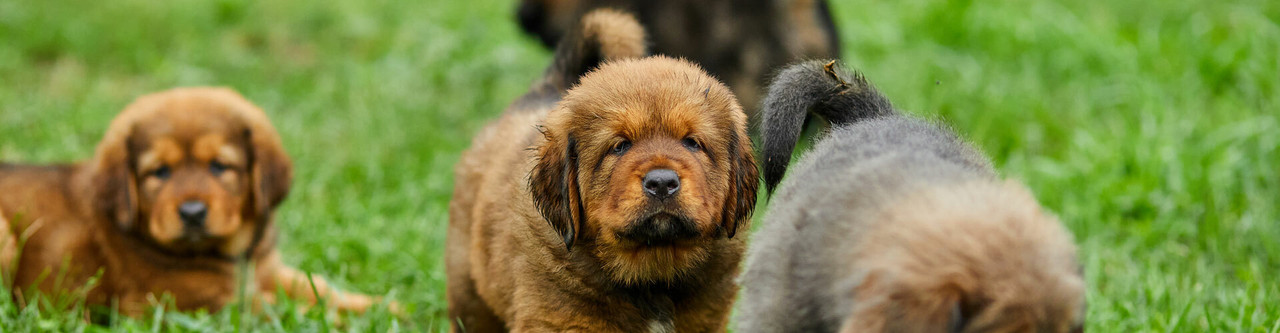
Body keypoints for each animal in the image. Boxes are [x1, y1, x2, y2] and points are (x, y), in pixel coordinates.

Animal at [0, 87, 378, 317]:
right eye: (159, 172)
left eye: (219, 166)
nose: (193, 213)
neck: (229, 254)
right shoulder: (187, 302)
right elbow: (296, 309)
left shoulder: (266, 269)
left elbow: (325, 290)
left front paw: (379, 305)